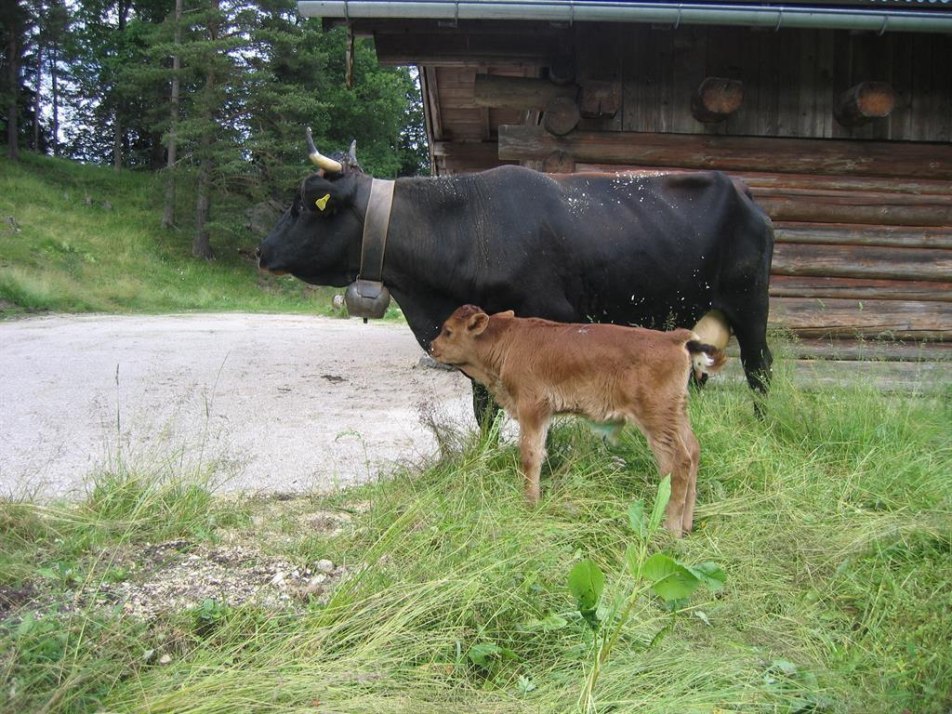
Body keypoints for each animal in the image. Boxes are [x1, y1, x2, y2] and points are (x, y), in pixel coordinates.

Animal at [258, 138, 772, 418]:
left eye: (304, 204)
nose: (262, 251)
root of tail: (742, 187)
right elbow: (481, 409)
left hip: (751, 305)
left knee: (760, 369)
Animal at [432, 304, 728, 536]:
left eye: (448, 331)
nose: (432, 346)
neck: (507, 340)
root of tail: (676, 337)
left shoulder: (533, 408)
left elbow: (530, 455)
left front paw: (530, 503)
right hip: (677, 414)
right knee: (693, 452)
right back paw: (687, 526)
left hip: (657, 419)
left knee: (678, 463)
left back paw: (670, 530)